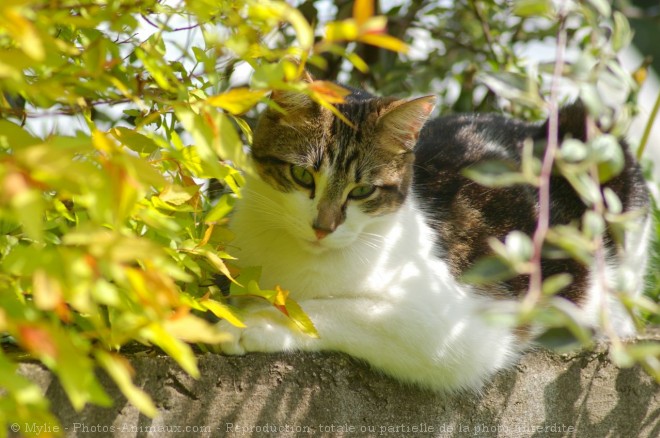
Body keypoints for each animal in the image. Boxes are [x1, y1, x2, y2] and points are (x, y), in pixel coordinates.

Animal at [219, 77, 652, 392]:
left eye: (362, 190)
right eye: (302, 175)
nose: (323, 227)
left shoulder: (456, 327)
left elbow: (336, 309)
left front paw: (251, 324)